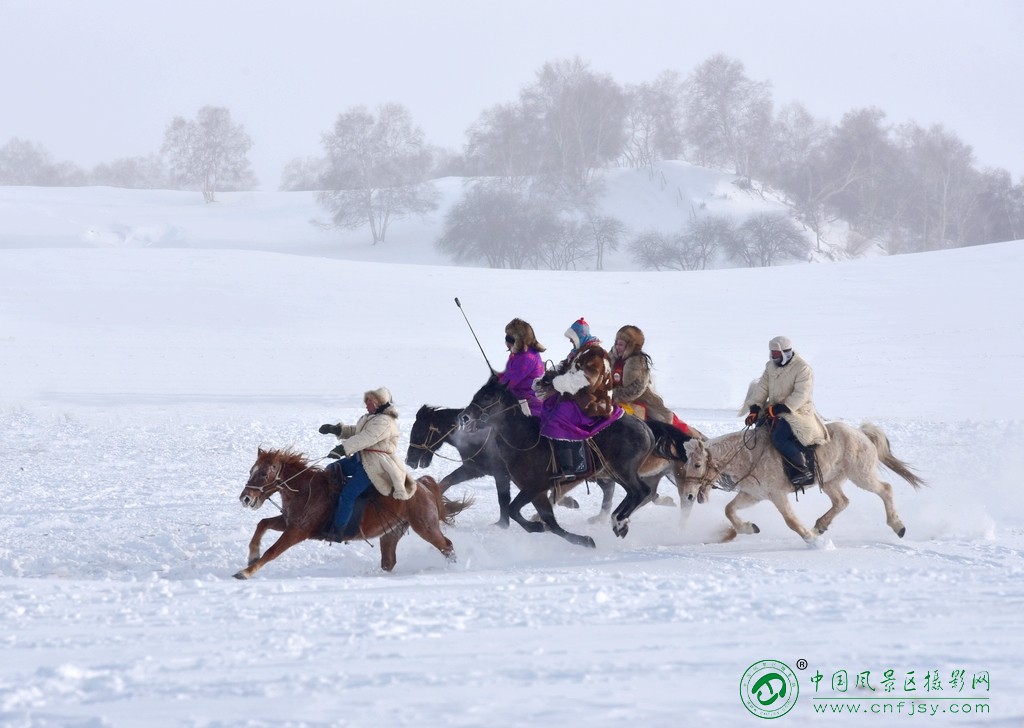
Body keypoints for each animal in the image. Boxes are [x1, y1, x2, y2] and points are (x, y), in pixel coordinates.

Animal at [234, 446, 471, 577]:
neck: (306, 489)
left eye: (264, 473)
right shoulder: (289, 522)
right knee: (389, 562)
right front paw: (252, 556)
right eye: (252, 470)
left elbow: (272, 551)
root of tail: (422, 486)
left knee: (447, 546)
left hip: (425, 526)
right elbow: (263, 523)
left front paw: (245, 572)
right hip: (391, 533)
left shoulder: (297, 531)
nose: (245, 498)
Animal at [458, 376, 688, 548]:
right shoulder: (537, 492)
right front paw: (583, 540)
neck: (524, 439)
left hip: (623, 469)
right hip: (615, 471)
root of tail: (645, 426)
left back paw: (618, 522)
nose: (464, 417)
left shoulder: (535, 486)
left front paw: (536, 527)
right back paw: (618, 521)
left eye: (487, 396)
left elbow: (514, 509)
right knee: (635, 493)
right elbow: (550, 521)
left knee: (641, 491)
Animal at [675, 421, 925, 548]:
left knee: (885, 490)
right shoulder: (753, 495)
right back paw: (820, 525)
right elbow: (729, 510)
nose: (688, 495)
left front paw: (813, 541)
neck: (748, 456)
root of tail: (861, 433)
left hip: (861, 475)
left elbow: (791, 521)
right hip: (831, 481)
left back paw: (898, 526)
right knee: (842, 502)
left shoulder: (777, 495)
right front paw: (749, 527)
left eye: (697, 464)